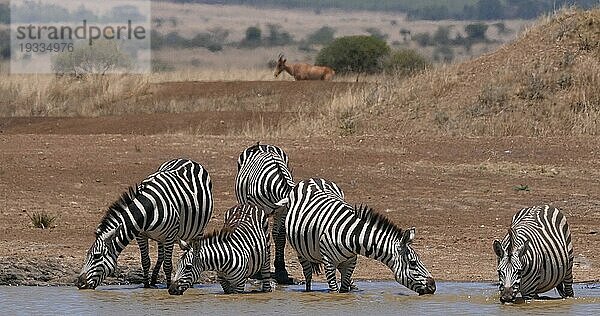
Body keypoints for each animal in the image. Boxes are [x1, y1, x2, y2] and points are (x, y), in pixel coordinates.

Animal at [77, 159, 213, 290]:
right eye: (87, 255)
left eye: (97, 256)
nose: (79, 283)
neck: (148, 209)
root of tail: (188, 160)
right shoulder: (141, 235)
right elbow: (145, 261)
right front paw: (146, 286)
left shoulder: (170, 236)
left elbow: (168, 265)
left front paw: (168, 286)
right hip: (160, 237)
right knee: (160, 255)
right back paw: (153, 281)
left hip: (198, 230)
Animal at [237, 143, 298, 284]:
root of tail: (262, 144)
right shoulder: (259, 208)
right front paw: (259, 272)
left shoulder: (282, 211)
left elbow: (279, 236)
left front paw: (281, 271)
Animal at [282, 178, 436, 294]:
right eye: (413, 263)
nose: (433, 287)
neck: (351, 235)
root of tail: (311, 179)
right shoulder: (329, 263)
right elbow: (334, 290)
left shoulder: (351, 261)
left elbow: (344, 289)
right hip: (301, 252)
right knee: (307, 275)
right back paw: (308, 291)